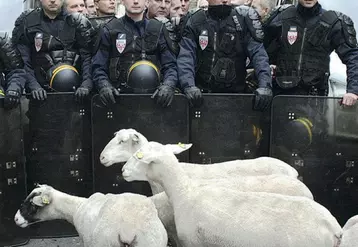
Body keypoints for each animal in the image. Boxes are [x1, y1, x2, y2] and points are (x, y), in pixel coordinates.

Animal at [14, 185, 169, 247]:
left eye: (32, 204)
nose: (16, 218)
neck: (77, 207)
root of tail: (129, 230)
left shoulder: (85, 241)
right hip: (151, 242)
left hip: (103, 242)